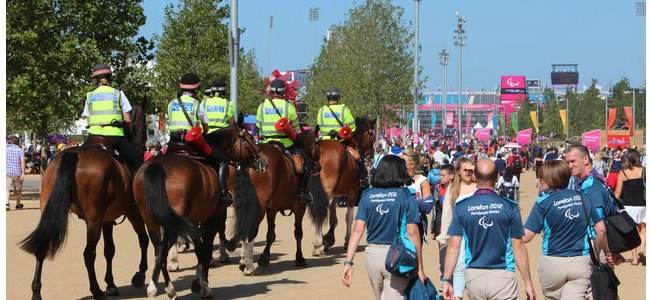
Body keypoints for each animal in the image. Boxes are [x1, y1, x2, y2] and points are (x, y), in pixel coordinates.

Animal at [19, 106, 149, 300]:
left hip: (51, 213)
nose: (145, 145)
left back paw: (36, 291)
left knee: (43, 246)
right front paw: (139, 275)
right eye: (147, 125)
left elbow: (109, 250)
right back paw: (96, 291)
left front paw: (111, 284)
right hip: (93, 222)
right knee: (88, 254)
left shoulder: (106, 220)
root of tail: (72, 154)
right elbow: (143, 240)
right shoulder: (132, 213)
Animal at [134, 116, 260, 298]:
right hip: (172, 223)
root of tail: (156, 166)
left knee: (159, 250)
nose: (260, 158)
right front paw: (204, 285)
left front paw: (197, 282)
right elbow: (205, 250)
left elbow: (199, 249)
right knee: (163, 249)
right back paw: (154, 288)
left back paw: (169, 288)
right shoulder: (213, 218)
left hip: (152, 222)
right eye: (250, 138)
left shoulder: (192, 221)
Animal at [230, 127, 326, 276]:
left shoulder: (272, 209)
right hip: (259, 208)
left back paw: (243, 261)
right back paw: (249, 266)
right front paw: (300, 258)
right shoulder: (300, 207)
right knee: (251, 230)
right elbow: (298, 232)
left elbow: (271, 235)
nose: (319, 166)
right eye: (317, 144)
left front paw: (264, 257)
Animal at [310, 117, 374, 255]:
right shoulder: (353, 193)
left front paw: (329, 239)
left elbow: (333, 219)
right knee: (321, 211)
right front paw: (347, 241)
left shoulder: (335, 196)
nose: (372, 156)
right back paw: (318, 245)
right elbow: (349, 217)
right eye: (372, 137)